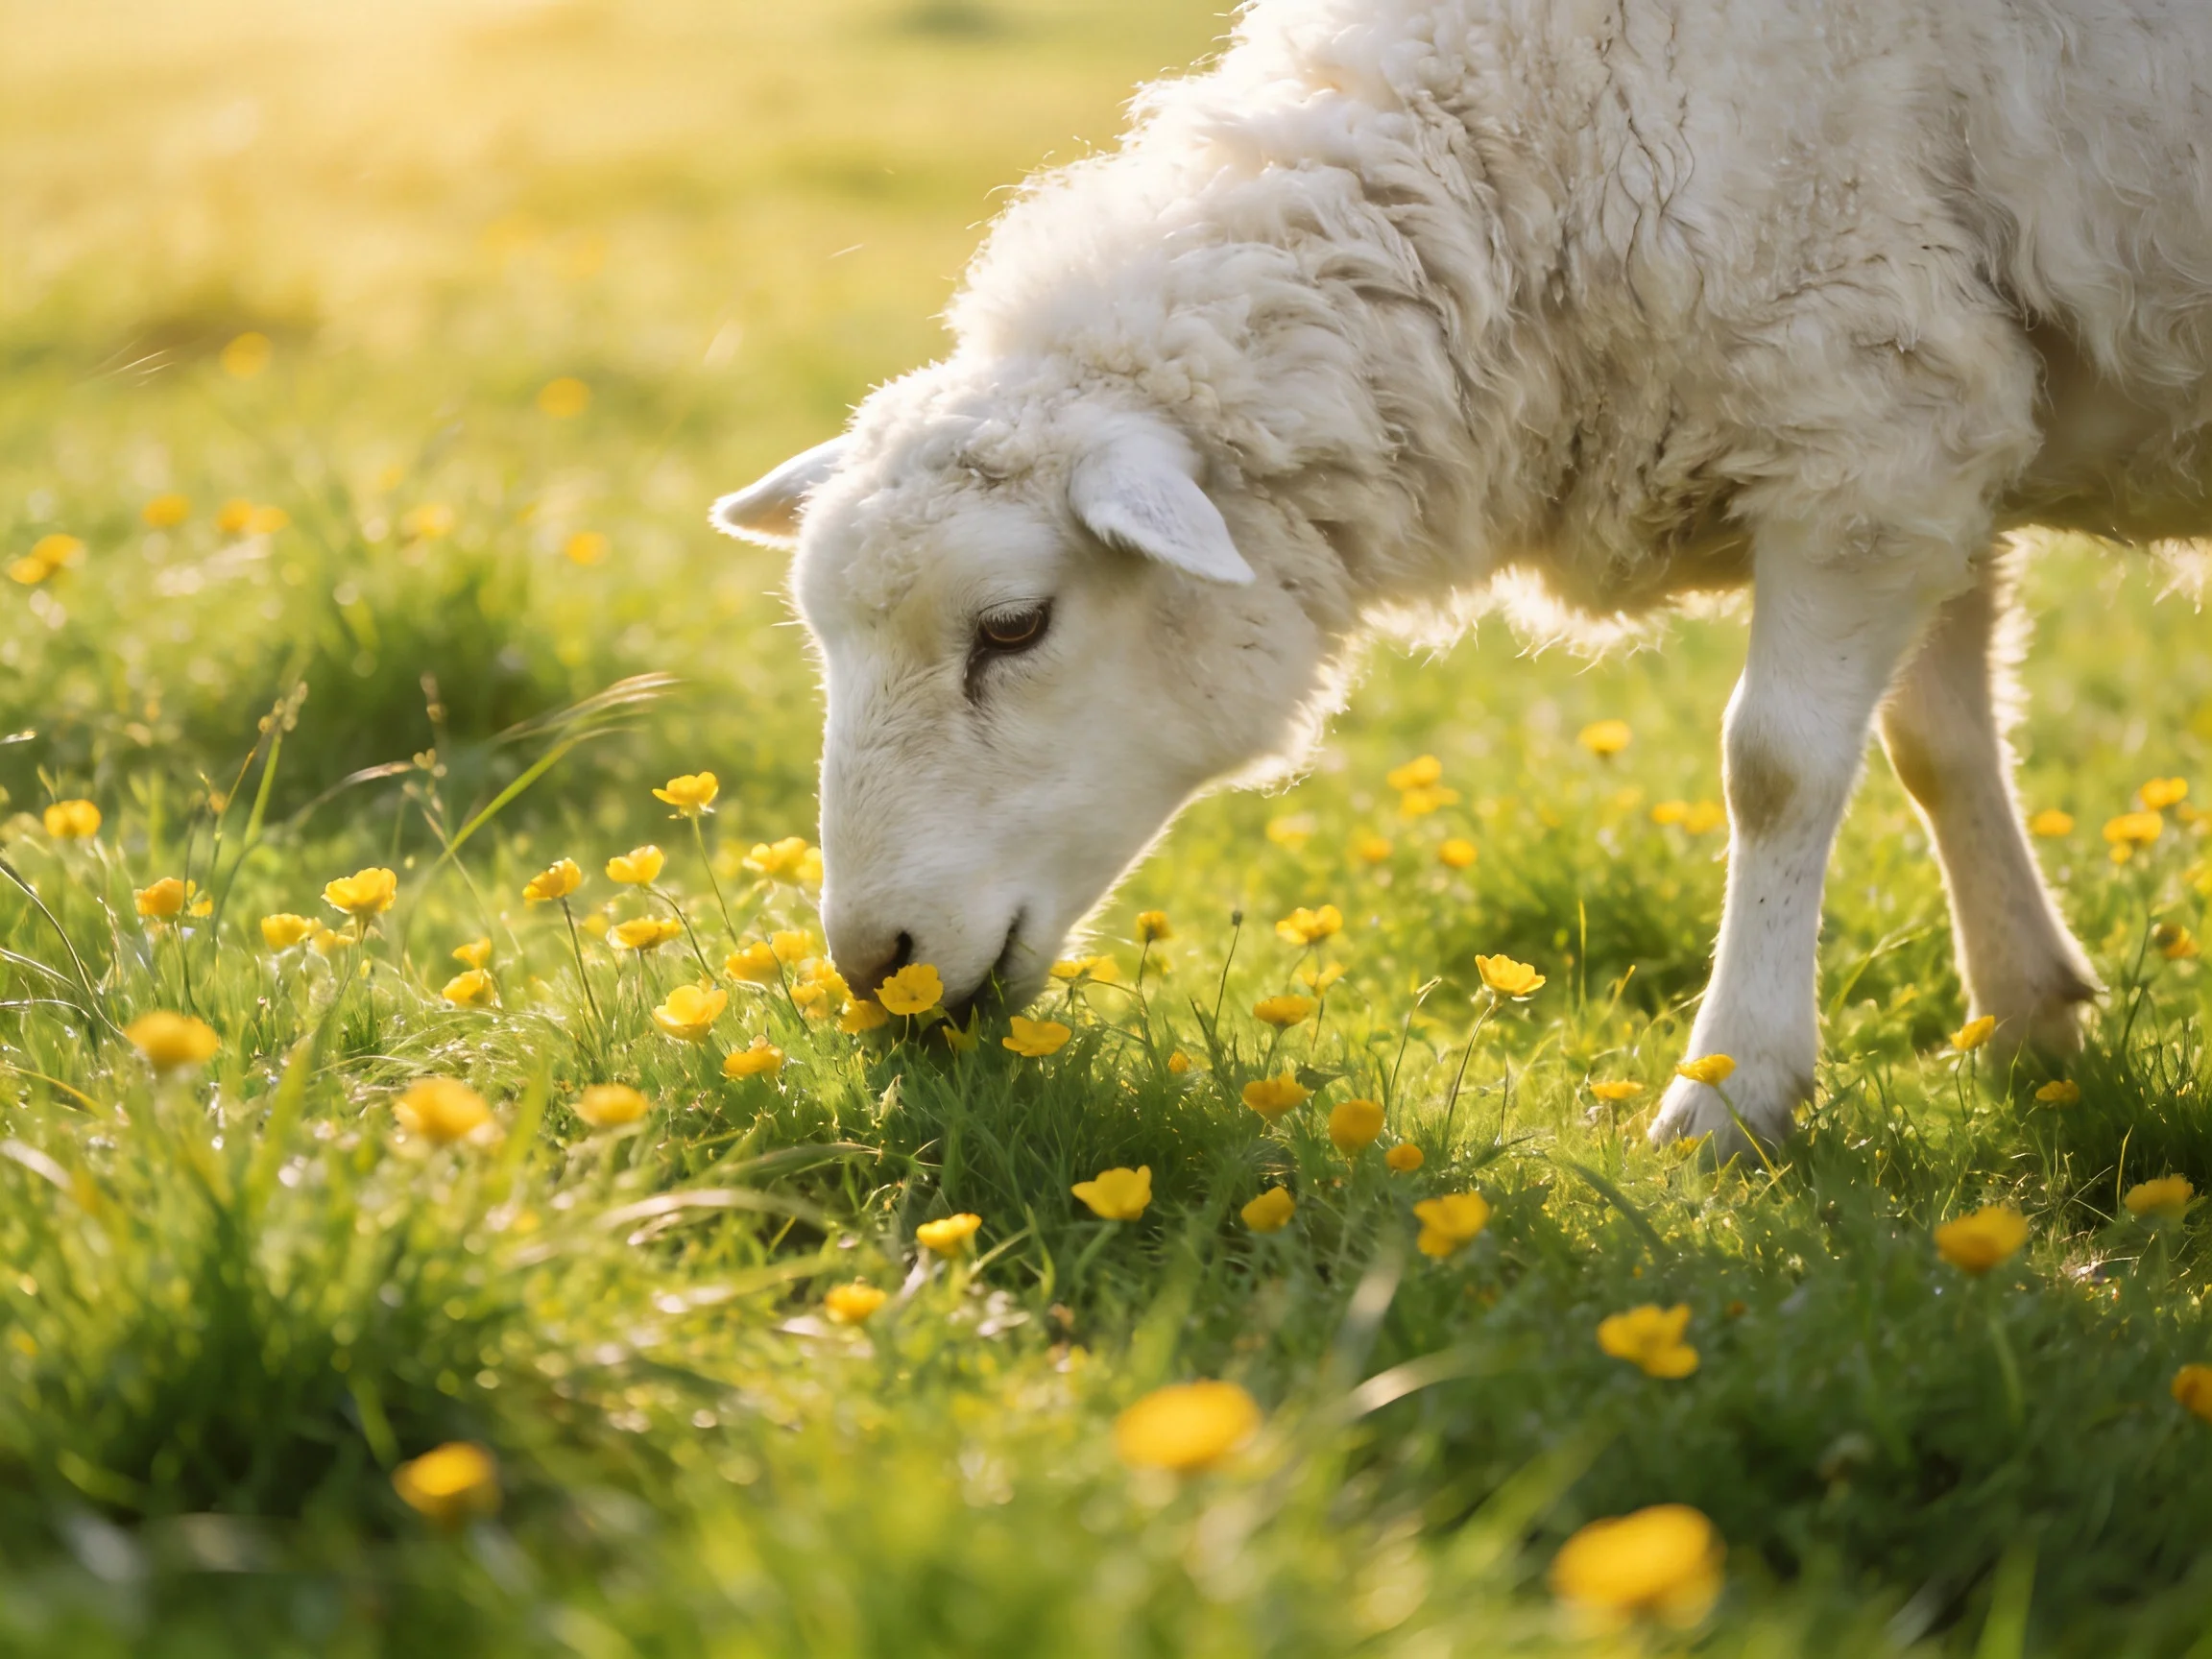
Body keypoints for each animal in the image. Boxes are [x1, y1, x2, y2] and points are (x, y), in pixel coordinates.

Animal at [712, 0, 2212, 1153]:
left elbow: (1778, 767)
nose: (875, 974)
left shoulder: (1864, 418)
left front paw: (1733, 1099)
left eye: (1015, 626)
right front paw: (2027, 1019)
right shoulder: (1944, 421)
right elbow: (1938, 744)